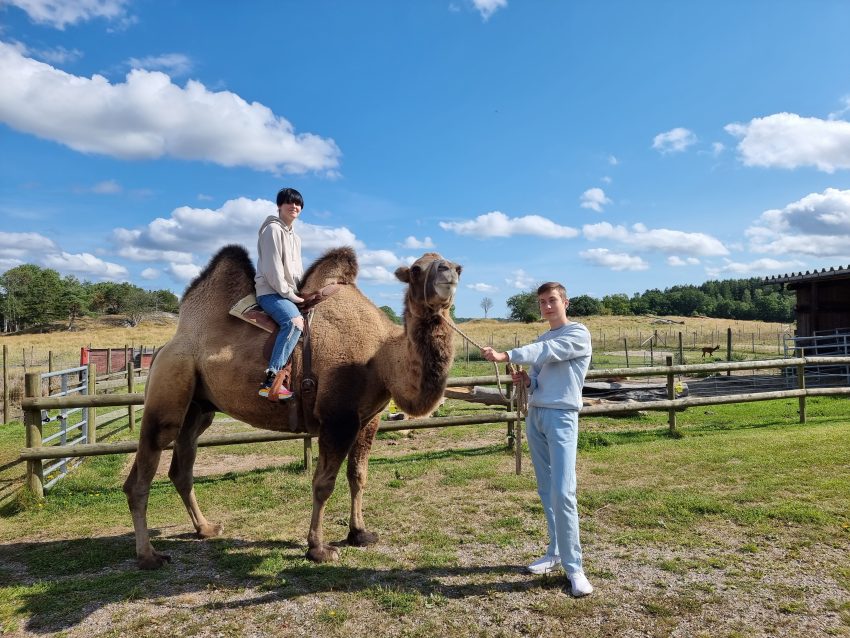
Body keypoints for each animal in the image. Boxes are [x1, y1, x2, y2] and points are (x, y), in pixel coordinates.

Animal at [122, 245, 460, 568]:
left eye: (454, 265)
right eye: (416, 269)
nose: (449, 270)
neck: (381, 358)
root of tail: (166, 345)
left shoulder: (369, 418)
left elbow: (358, 476)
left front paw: (360, 533)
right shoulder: (337, 419)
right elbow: (323, 484)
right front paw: (319, 549)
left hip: (199, 407)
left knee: (182, 467)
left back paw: (206, 529)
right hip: (169, 387)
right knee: (141, 475)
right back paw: (149, 557)